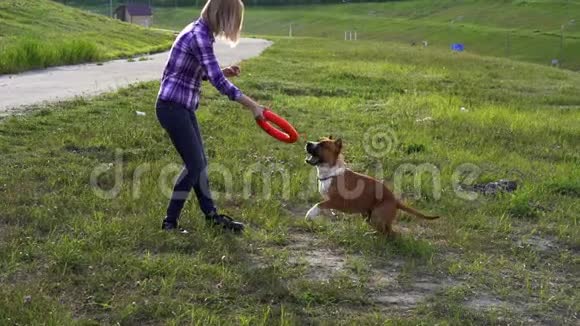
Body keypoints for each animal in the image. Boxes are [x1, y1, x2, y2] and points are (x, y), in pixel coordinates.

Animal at [306, 136, 438, 236]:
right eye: (318, 140)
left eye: (323, 145)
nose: (308, 143)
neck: (331, 173)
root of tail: (395, 201)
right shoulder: (330, 201)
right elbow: (324, 206)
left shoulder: (337, 201)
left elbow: (319, 204)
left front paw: (309, 214)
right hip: (367, 216)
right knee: (386, 231)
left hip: (376, 217)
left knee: (388, 233)